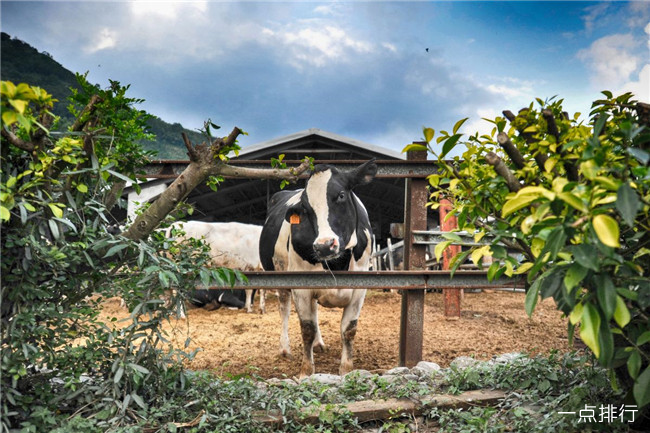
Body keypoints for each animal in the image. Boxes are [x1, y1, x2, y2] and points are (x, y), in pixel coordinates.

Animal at [258, 159, 374, 378]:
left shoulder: (360, 287)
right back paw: (285, 348)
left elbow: (349, 329)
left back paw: (319, 344)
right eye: (305, 208)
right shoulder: (301, 286)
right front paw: (306, 371)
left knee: (315, 311)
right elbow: (307, 329)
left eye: (341, 195)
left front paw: (346, 370)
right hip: (280, 277)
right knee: (284, 309)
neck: (338, 264)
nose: (324, 245)